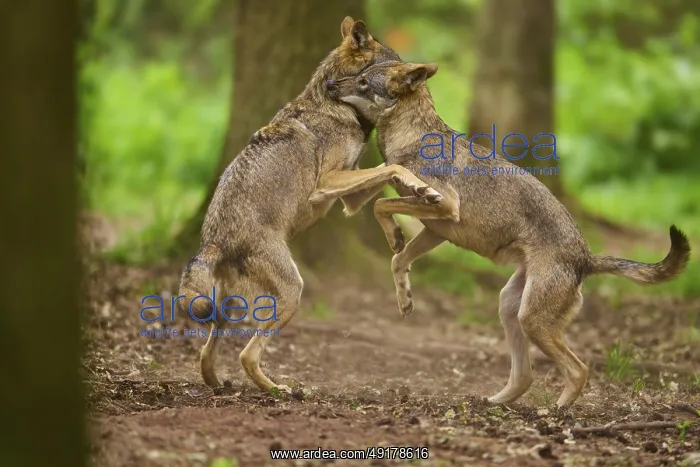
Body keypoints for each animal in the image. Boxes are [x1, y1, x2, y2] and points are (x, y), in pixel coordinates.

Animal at [176, 19, 445, 393]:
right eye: (389, 63)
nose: (415, 74)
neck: (337, 105)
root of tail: (213, 240)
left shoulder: (348, 197)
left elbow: (386, 174)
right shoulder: (326, 185)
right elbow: (393, 168)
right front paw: (423, 189)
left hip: (228, 307)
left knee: (206, 351)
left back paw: (219, 384)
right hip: (292, 292)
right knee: (246, 354)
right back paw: (278, 390)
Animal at [320, 60, 691, 407]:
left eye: (363, 81)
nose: (328, 84)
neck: (410, 138)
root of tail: (586, 257)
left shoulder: (445, 208)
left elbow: (380, 205)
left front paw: (393, 235)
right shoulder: (437, 230)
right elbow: (397, 255)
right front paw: (404, 295)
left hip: (532, 320)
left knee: (579, 369)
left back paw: (556, 412)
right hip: (510, 308)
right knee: (525, 376)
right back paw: (493, 403)